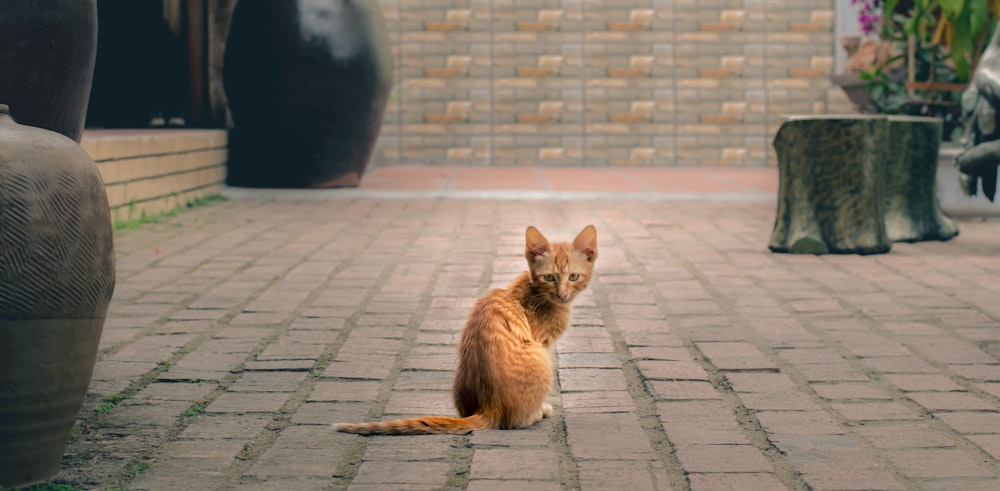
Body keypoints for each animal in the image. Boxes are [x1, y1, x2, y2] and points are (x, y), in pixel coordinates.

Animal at [336, 225, 596, 436]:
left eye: (573, 276)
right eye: (549, 277)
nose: (562, 294)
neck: (534, 291)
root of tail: (489, 407)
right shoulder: (543, 342)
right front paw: (542, 408)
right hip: (541, 358)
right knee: (516, 421)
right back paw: (536, 413)